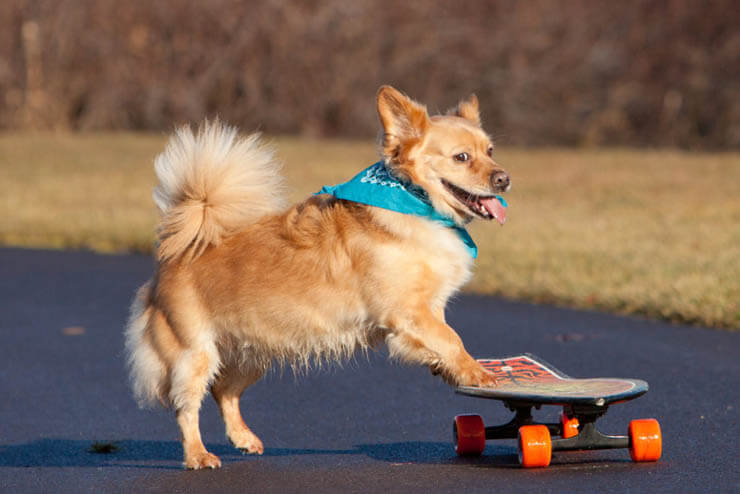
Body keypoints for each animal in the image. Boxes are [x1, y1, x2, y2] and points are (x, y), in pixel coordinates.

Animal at [124, 85, 512, 466]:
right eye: (462, 157)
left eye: (491, 151)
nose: (504, 179)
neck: (417, 203)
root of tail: (176, 251)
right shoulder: (407, 313)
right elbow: (451, 339)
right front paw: (477, 373)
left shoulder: (428, 310)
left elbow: (442, 339)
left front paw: (449, 369)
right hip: (194, 355)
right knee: (187, 407)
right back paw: (198, 455)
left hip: (250, 354)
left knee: (224, 392)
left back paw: (243, 438)